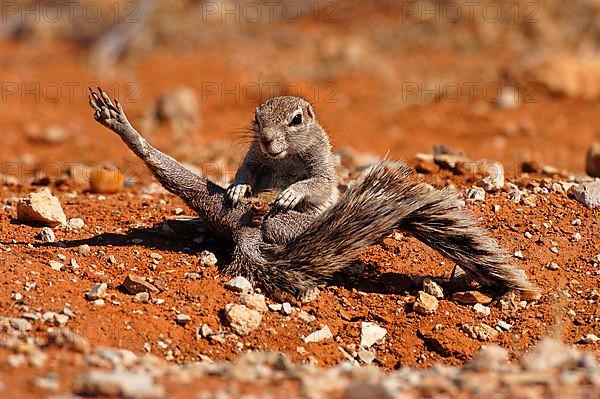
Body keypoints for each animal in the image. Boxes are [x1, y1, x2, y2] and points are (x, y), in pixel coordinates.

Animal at [90, 86, 544, 300]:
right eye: (257, 120)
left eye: (295, 120)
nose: (269, 139)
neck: (285, 157)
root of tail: (246, 236)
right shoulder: (255, 157)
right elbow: (246, 171)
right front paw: (240, 186)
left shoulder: (322, 167)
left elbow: (317, 183)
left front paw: (292, 192)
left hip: (286, 223)